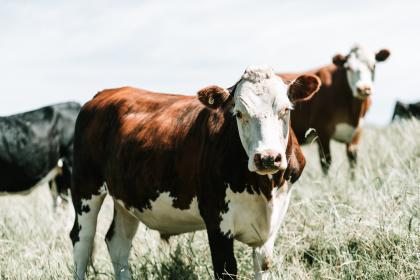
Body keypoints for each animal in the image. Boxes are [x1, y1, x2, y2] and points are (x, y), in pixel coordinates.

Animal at [69, 66, 320, 278]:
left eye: (286, 109)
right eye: (239, 113)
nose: (267, 157)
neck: (264, 187)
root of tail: (103, 94)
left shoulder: (270, 227)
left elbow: (263, 266)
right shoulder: (217, 224)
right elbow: (226, 270)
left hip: (127, 199)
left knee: (118, 244)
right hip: (85, 188)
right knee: (82, 240)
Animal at [278, 44, 390, 174]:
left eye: (373, 66)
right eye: (348, 68)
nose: (363, 88)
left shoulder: (356, 134)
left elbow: (353, 162)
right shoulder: (322, 132)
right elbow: (326, 163)